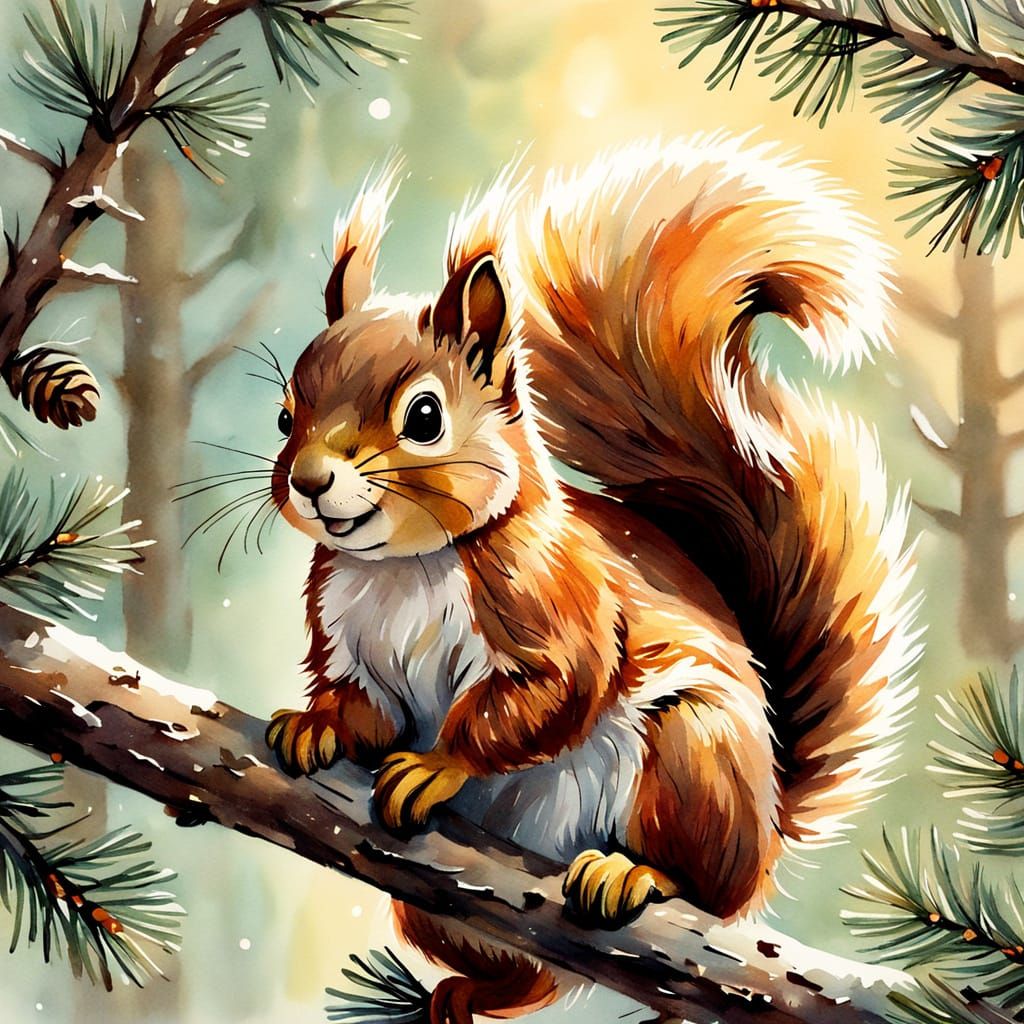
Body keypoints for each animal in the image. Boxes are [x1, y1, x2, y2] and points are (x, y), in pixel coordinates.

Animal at [265, 135, 919, 1024]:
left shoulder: (554, 599)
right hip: (435, 914)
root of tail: (770, 825)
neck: (405, 566)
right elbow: (366, 706)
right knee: (527, 980)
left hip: (691, 754)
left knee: (706, 890)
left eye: (424, 417)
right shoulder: (343, 633)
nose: (307, 481)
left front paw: (440, 764)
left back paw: (634, 873)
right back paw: (473, 990)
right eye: (285, 416)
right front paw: (317, 723)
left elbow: (549, 692)